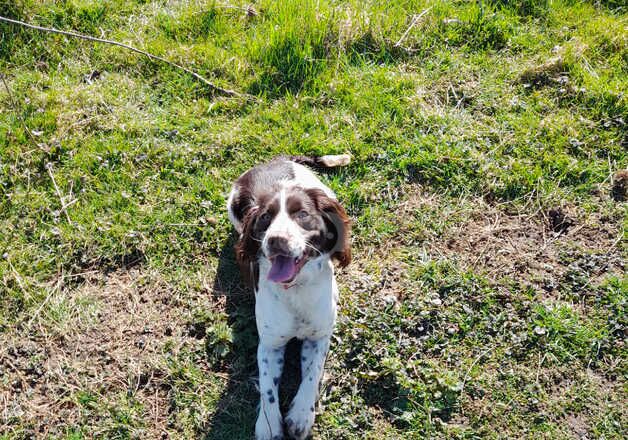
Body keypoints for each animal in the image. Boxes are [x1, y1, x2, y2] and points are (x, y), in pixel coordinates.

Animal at [227, 155, 354, 440]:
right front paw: (269, 425)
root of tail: (277, 159)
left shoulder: (319, 337)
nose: (275, 240)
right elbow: (267, 387)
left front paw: (301, 415)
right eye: (265, 217)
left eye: (302, 215)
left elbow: (312, 375)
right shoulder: (270, 344)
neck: (296, 289)